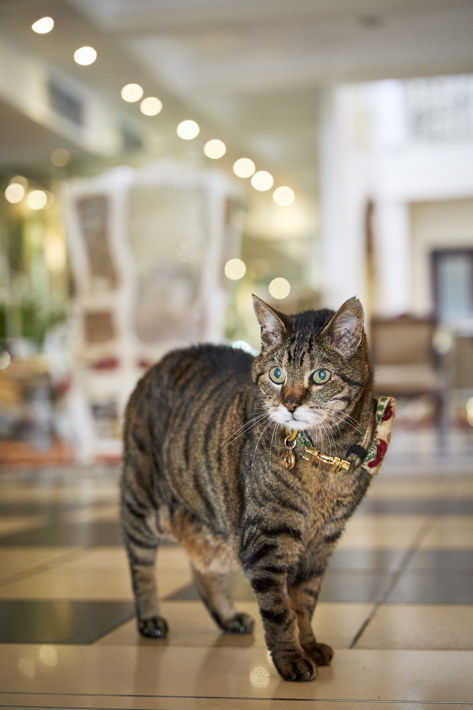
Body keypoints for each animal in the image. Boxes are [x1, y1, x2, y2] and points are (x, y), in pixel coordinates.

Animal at [121, 294, 380, 684]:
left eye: (320, 376)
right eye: (277, 375)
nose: (290, 403)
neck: (323, 455)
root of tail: (161, 360)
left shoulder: (322, 543)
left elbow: (305, 604)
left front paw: (309, 644)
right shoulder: (268, 540)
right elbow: (280, 611)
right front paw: (291, 659)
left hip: (215, 520)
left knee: (202, 568)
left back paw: (228, 616)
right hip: (143, 501)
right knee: (140, 566)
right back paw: (150, 617)